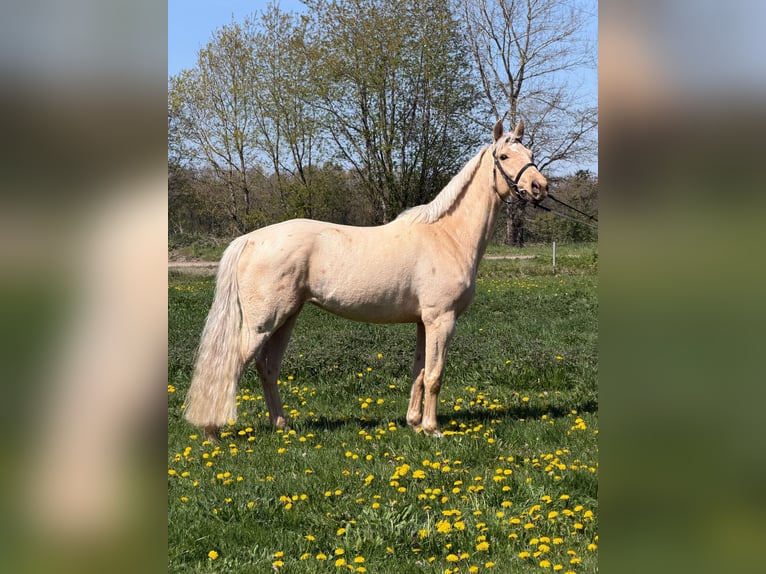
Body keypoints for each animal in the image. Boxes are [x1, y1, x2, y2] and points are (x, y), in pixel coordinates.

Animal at [184, 119, 547, 439]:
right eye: (504, 156)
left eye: (530, 153)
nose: (539, 187)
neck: (447, 235)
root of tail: (250, 239)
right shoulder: (441, 319)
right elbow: (435, 375)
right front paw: (432, 429)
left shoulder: (423, 322)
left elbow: (418, 372)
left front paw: (414, 423)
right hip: (262, 323)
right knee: (231, 367)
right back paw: (212, 431)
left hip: (285, 319)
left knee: (267, 368)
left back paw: (281, 426)